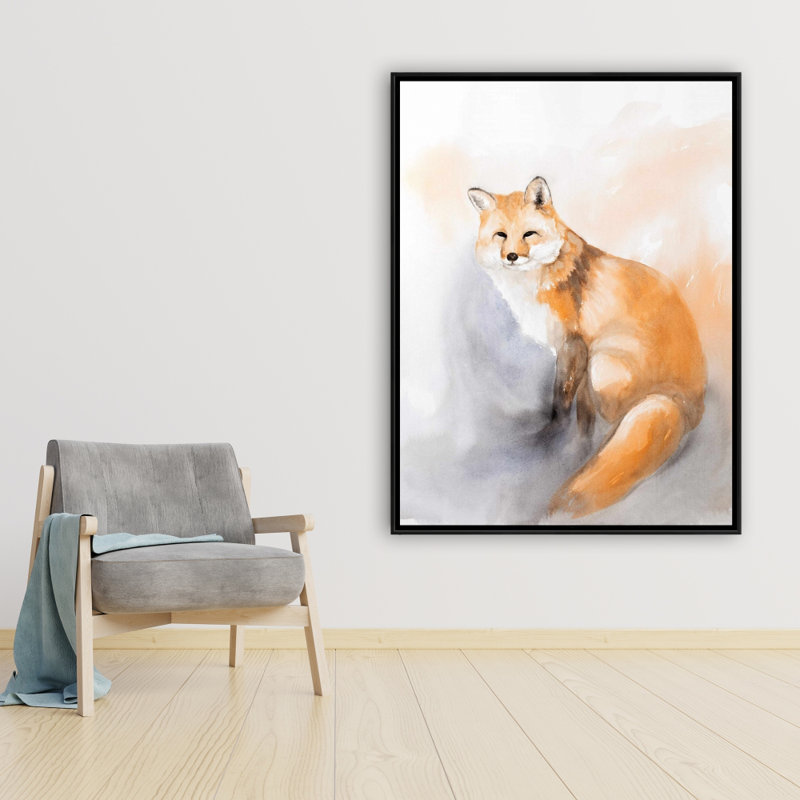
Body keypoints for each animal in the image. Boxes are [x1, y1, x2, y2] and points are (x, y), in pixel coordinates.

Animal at [468, 177, 706, 518]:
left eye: (529, 234)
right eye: (501, 235)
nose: (511, 256)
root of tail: (683, 402)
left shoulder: (575, 345)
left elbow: (561, 401)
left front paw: (552, 438)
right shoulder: (575, 353)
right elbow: (580, 408)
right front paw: (577, 440)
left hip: (603, 363)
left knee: (619, 421)